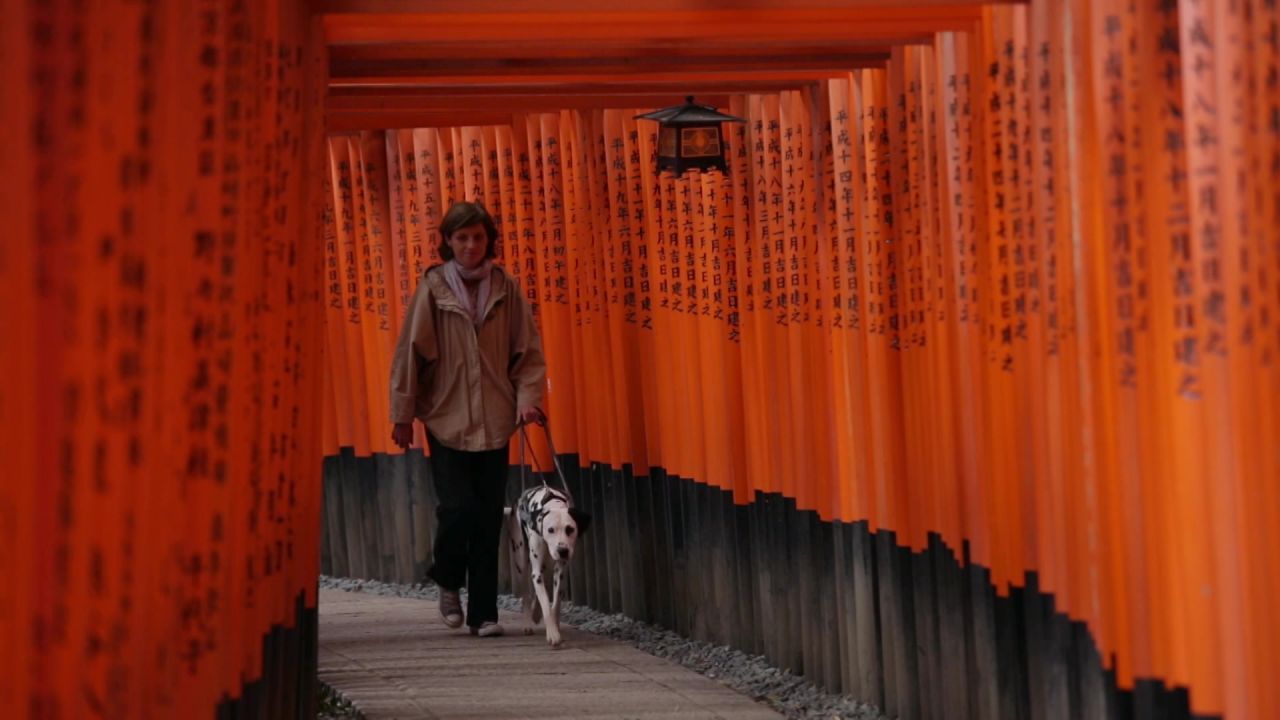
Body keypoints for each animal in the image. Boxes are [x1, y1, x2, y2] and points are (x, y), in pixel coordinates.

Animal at [506, 481, 591, 645]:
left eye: (570, 529)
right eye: (550, 529)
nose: (562, 550)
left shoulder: (560, 571)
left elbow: (555, 602)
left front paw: (555, 626)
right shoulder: (536, 572)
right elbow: (545, 603)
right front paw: (552, 634)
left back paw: (536, 613)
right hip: (521, 561)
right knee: (526, 594)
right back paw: (528, 622)